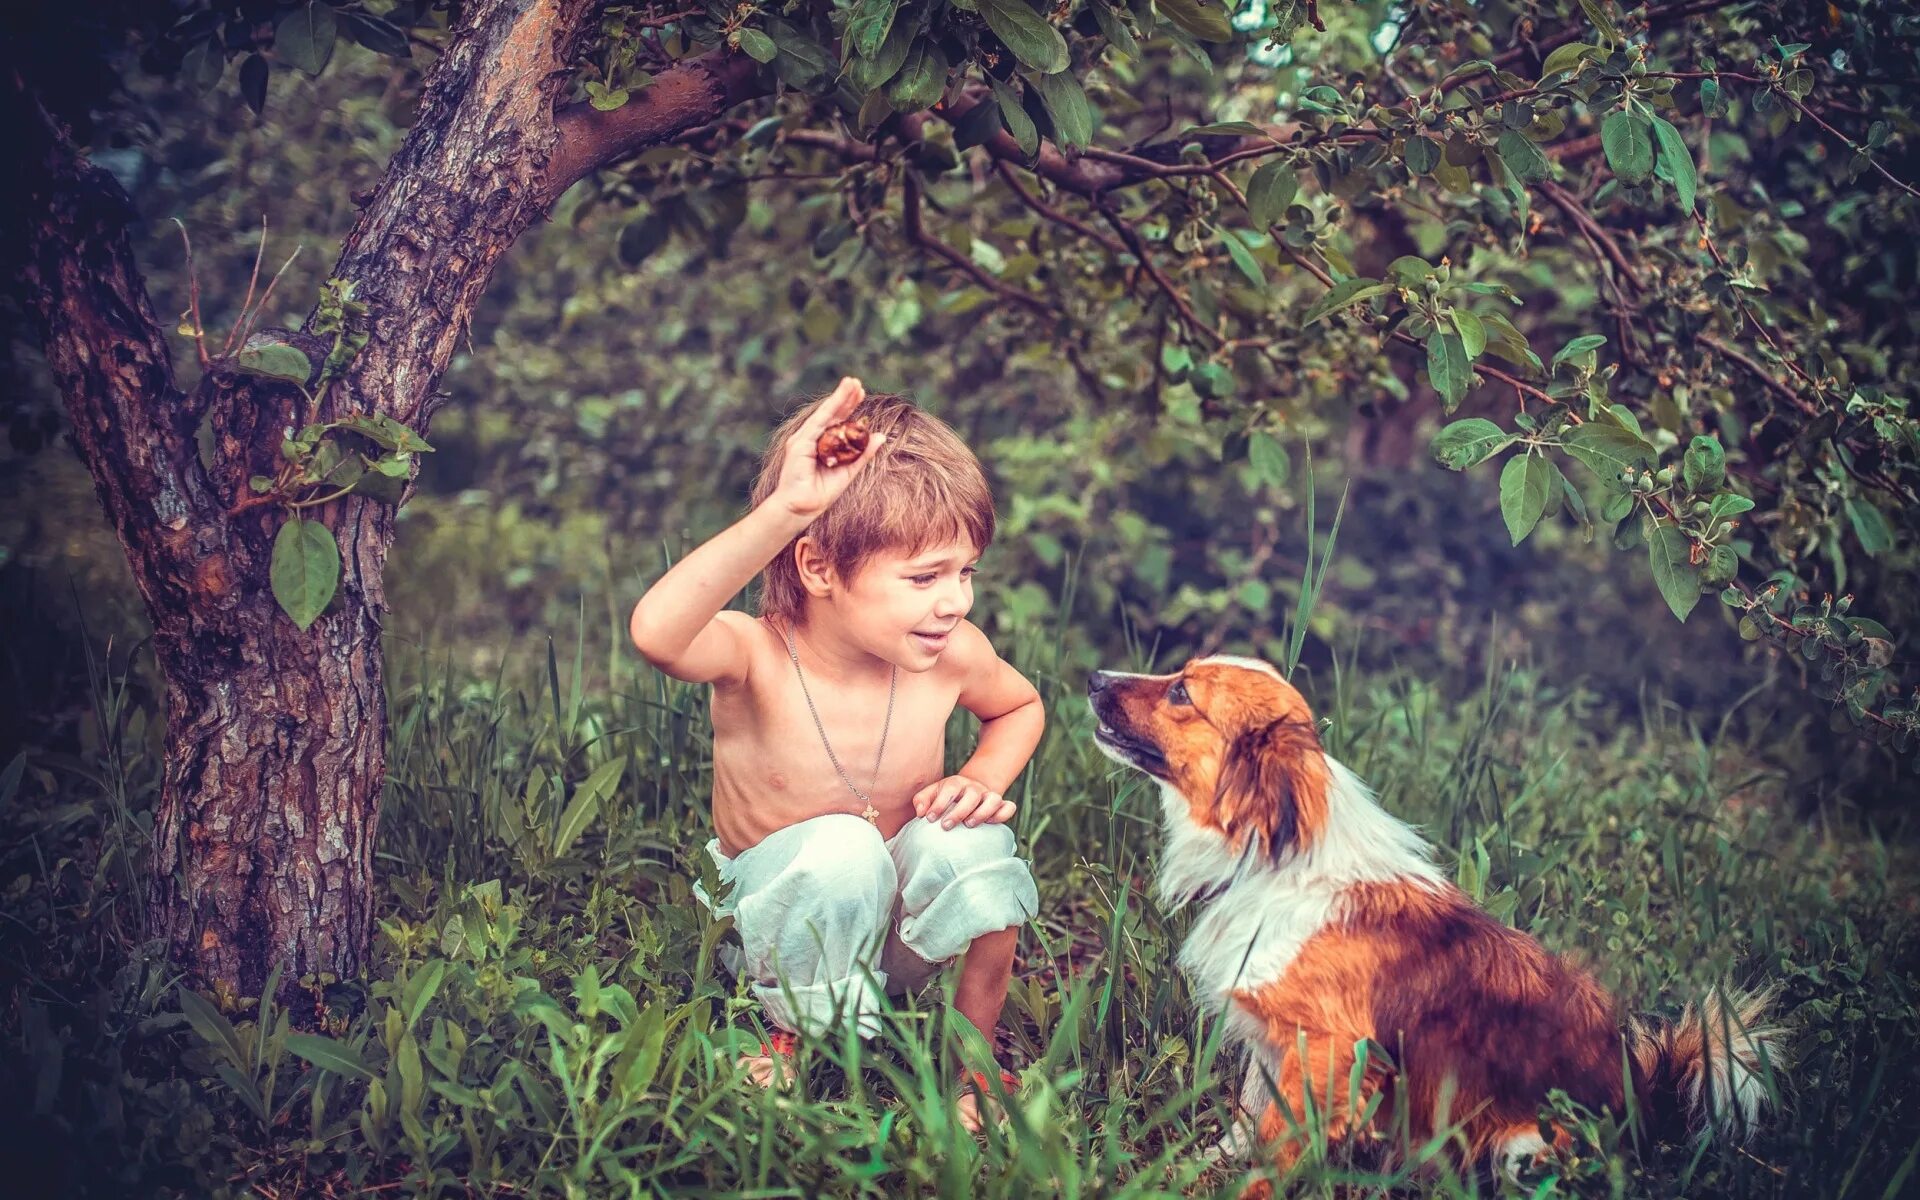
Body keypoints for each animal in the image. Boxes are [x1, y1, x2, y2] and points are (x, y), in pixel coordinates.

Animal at [1090, 656, 1774, 1182]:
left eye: (1181, 692)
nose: (1095, 677)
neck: (1271, 859)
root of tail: (1647, 1100)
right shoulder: (1273, 1041)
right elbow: (1251, 1115)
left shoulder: (1328, 1049)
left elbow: (1278, 1140)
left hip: (1528, 1144)